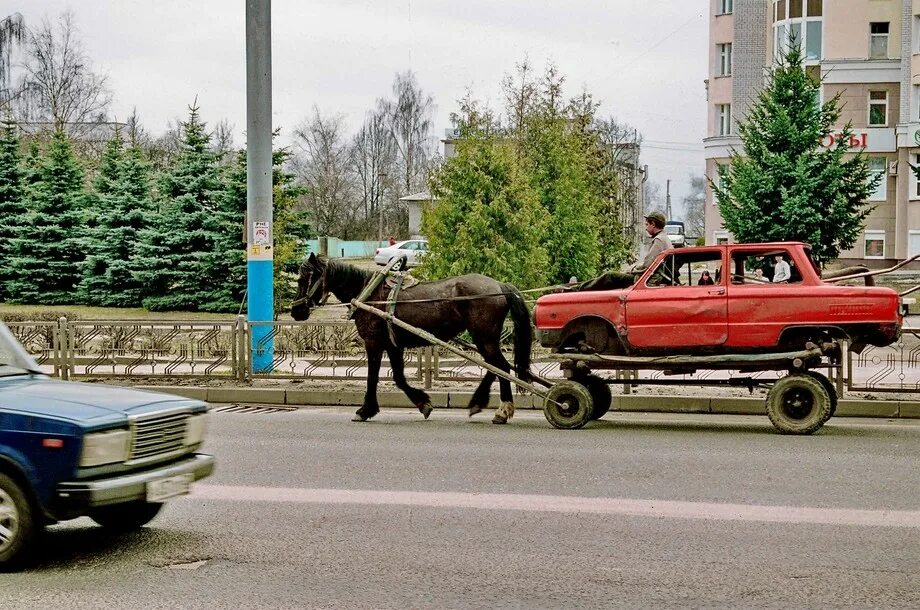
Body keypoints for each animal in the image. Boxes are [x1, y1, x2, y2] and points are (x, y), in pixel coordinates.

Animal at [288, 252, 532, 422]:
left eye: (302, 279)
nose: (295, 311)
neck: (370, 294)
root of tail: (500, 285)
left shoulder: (373, 343)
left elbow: (372, 377)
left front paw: (365, 410)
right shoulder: (393, 345)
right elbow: (398, 377)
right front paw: (423, 403)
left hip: (484, 338)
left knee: (500, 367)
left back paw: (499, 409)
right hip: (484, 339)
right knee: (497, 368)